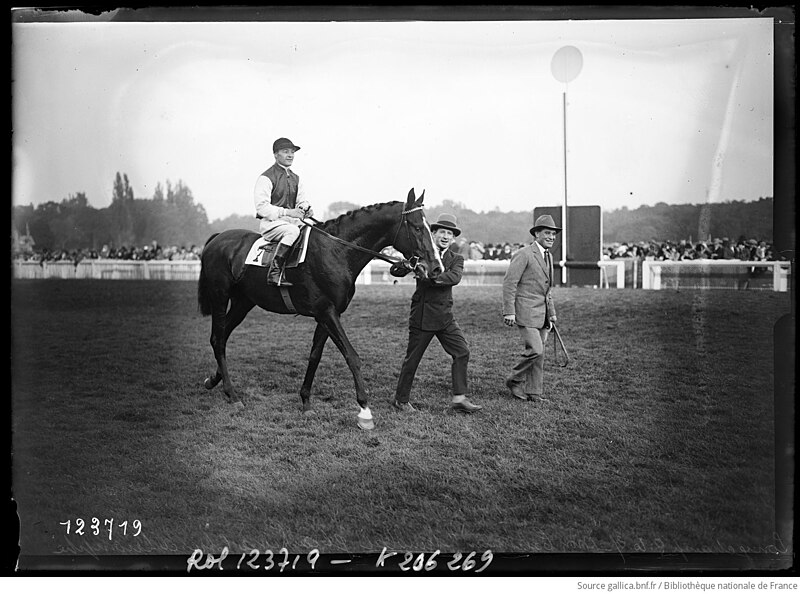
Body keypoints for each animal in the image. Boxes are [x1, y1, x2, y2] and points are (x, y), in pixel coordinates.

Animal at [195, 187, 444, 428]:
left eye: (429, 227)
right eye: (417, 227)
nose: (436, 268)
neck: (337, 251)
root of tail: (218, 239)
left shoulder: (326, 315)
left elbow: (315, 355)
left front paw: (306, 401)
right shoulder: (327, 312)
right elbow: (352, 356)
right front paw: (364, 410)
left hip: (243, 302)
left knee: (221, 337)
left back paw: (214, 380)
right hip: (220, 298)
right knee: (218, 339)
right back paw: (232, 394)